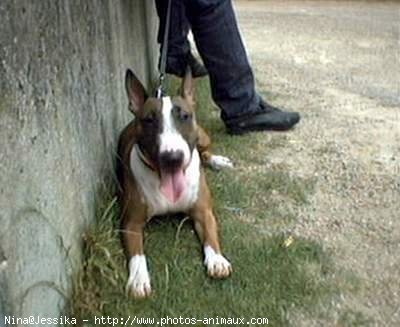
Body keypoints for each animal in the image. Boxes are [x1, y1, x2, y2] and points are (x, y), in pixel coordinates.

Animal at [117, 68, 233, 298]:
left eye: (185, 116)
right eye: (149, 120)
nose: (172, 158)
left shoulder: (203, 211)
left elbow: (211, 235)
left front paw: (217, 260)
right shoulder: (130, 222)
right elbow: (137, 255)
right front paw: (138, 280)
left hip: (202, 137)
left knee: (205, 152)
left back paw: (217, 160)